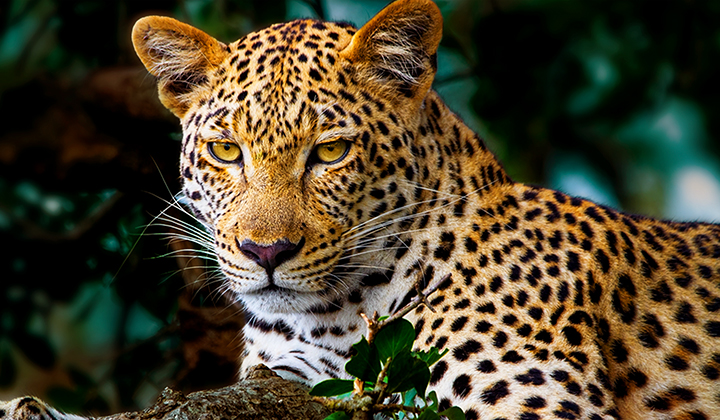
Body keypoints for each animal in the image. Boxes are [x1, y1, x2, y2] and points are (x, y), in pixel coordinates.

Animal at [3, 0, 720, 419]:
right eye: (226, 150)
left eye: (331, 151)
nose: (265, 253)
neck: (339, 316)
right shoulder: (289, 377)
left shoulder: (533, 400)